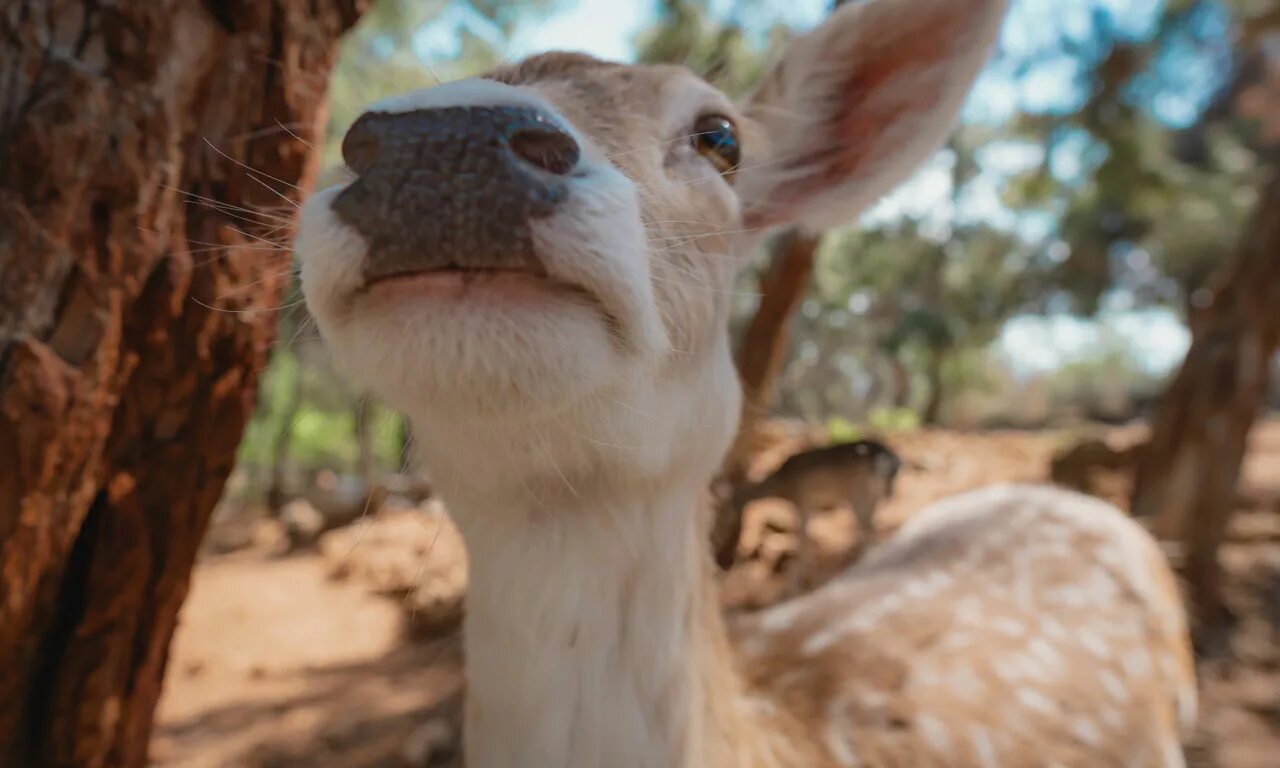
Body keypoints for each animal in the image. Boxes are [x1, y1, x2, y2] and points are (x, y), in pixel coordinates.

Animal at [732, 437, 901, 588]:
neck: (782, 487)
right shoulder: (812, 508)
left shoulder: (802, 505)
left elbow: (803, 543)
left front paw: (796, 584)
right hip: (874, 496)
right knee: (875, 524)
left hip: (859, 496)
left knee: (868, 527)